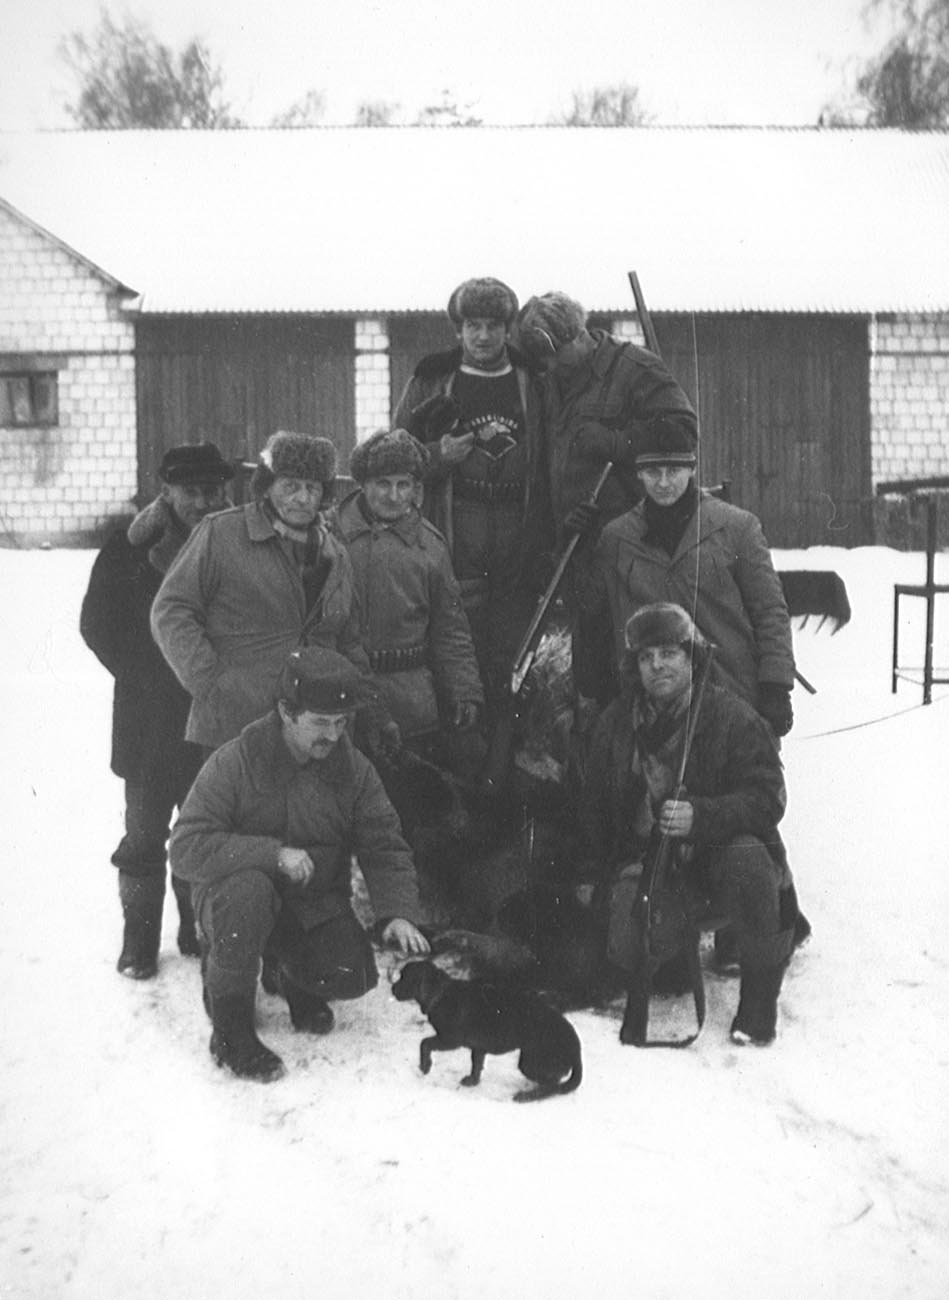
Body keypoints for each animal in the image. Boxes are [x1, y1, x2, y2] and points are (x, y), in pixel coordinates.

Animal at [392, 960, 582, 1102]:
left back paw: (528, 1096)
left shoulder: (450, 1040)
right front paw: (472, 1081)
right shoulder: (478, 1047)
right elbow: (476, 1065)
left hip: (530, 1063)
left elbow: (424, 1044)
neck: (440, 993)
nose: (392, 988)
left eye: (404, 977)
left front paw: (425, 1066)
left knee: (552, 1085)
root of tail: (576, 1046)